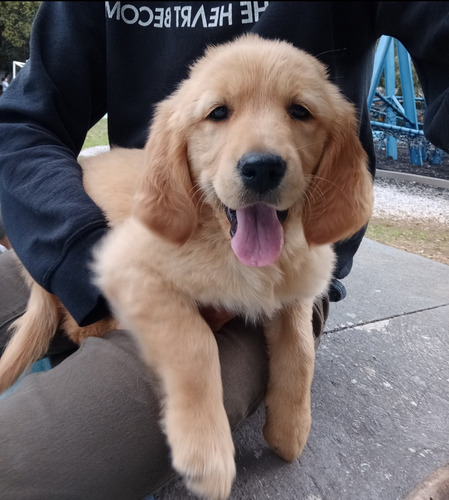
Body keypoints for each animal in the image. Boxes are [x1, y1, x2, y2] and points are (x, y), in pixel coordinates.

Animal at [0, 35, 372, 500]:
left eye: (300, 111)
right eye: (219, 113)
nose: (262, 167)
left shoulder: (297, 290)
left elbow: (302, 350)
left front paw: (291, 428)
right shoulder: (128, 270)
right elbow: (196, 341)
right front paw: (206, 455)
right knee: (74, 326)